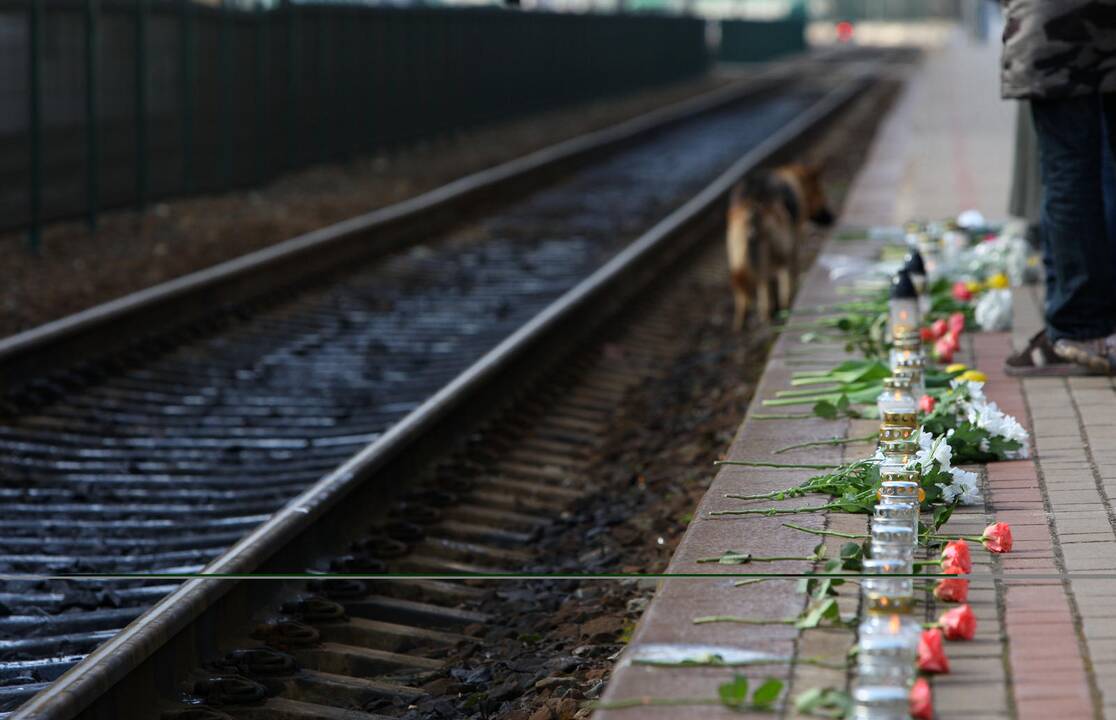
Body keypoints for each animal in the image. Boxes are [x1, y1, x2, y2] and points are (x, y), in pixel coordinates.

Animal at [727, 164, 834, 328]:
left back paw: (741, 321)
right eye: (821, 193)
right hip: (781, 248)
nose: (832, 218)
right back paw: (778, 307)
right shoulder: (794, 243)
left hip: (737, 255)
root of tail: (753, 202)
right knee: (770, 278)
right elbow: (789, 274)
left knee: (743, 287)